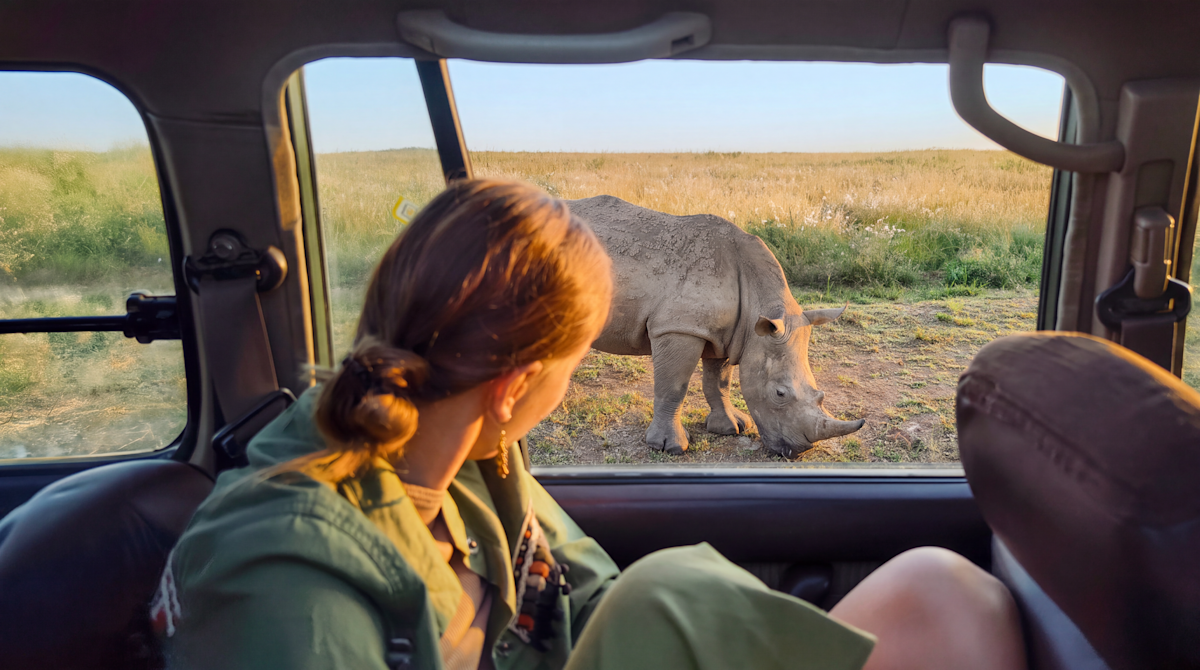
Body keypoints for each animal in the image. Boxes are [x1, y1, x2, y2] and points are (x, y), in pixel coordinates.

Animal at [569, 195, 865, 458]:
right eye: (779, 393)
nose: (800, 451)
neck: (757, 301)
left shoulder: (729, 333)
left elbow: (719, 382)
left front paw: (732, 428)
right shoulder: (680, 327)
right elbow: (674, 387)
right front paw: (669, 447)